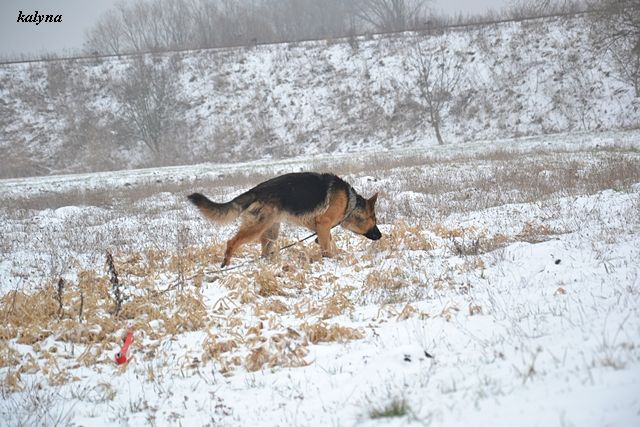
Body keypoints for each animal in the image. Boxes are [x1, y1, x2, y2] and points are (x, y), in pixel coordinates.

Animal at [188, 172, 382, 267]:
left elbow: (329, 243)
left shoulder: (323, 229)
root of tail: (255, 190)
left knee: (264, 253)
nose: (380, 236)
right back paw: (225, 264)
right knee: (232, 242)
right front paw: (331, 260)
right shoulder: (324, 224)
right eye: (374, 219)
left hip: (271, 231)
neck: (350, 202)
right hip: (258, 228)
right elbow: (327, 248)